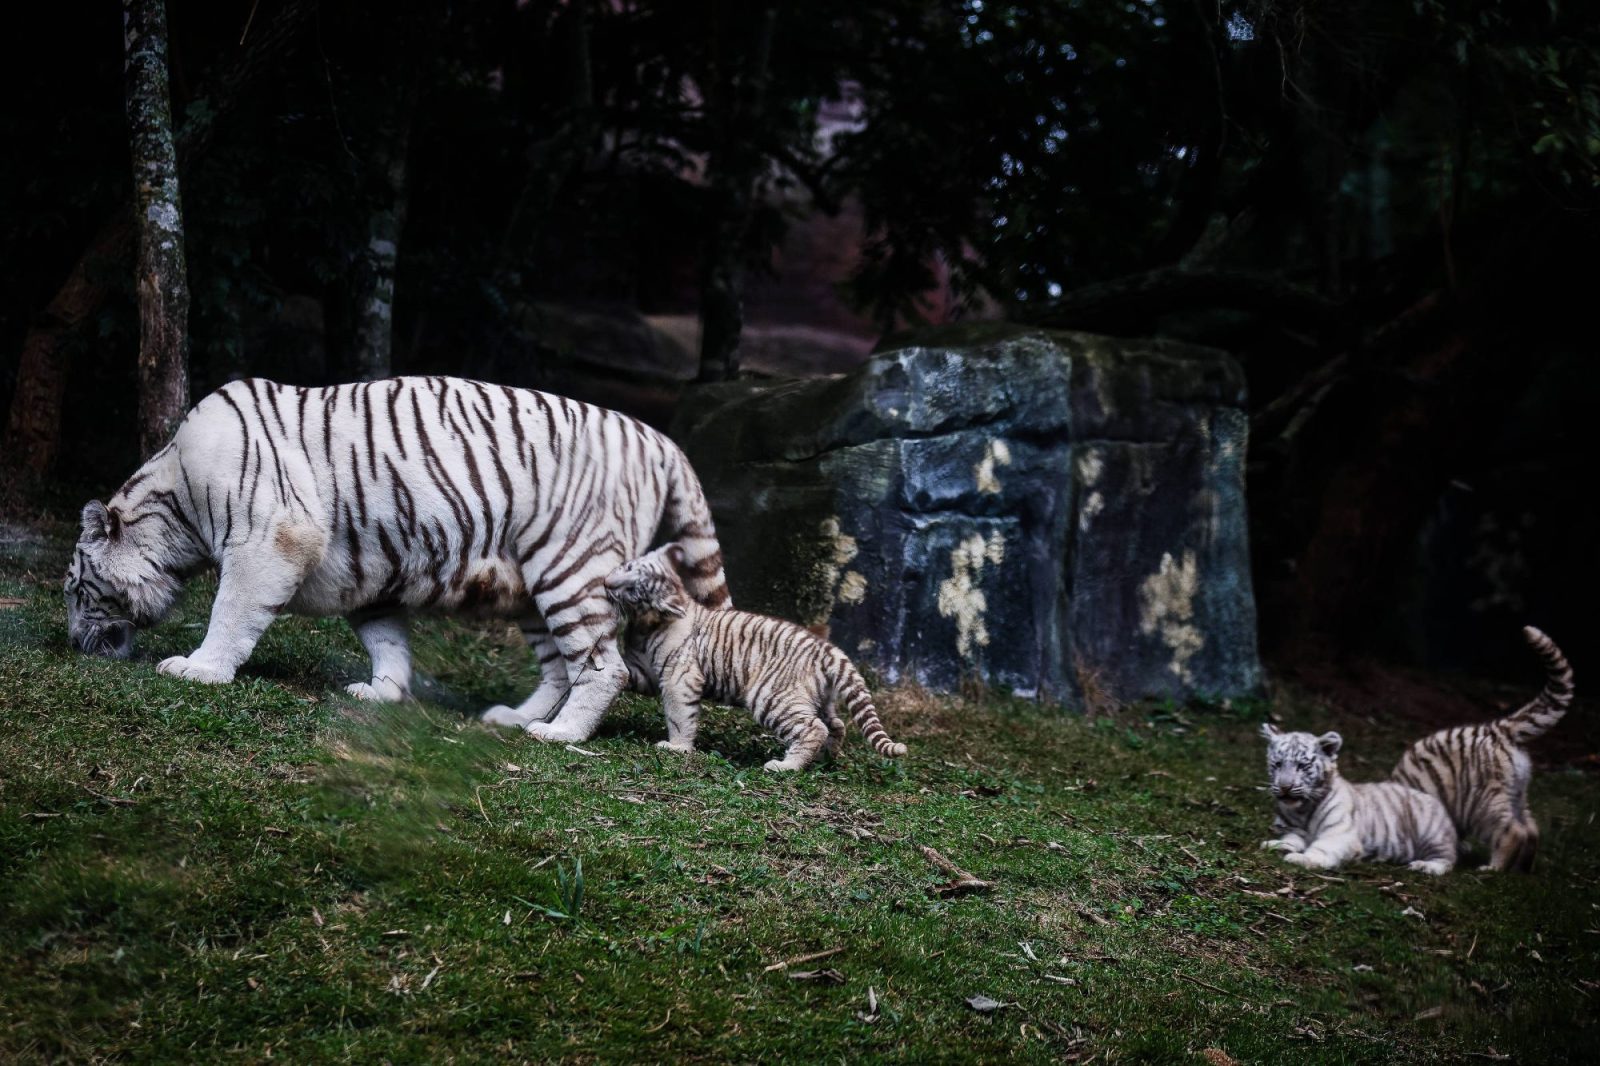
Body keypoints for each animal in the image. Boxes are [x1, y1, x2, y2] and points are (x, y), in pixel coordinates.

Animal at [64, 376, 730, 743]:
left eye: (76, 590)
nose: (71, 642)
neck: (174, 505)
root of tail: (662, 439)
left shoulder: (271, 537)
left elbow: (230, 611)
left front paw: (200, 669)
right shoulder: (365, 570)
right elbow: (386, 639)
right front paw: (383, 693)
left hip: (570, 566)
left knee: (601, 665)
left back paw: (560, 734)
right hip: (531, 585)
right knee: (559, 667)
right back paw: (512, 718)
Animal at [603, 543, 908, 771]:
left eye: (633, 590)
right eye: (627, 567)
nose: (606, 583)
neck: (644, 622)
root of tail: (828, 649)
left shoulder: (680, 678)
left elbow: (680, 716)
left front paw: (677, 748)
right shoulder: (646, 671)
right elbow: (626, 672)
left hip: (772, 696)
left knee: (813, 728)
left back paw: (786, 767)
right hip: (817, 697)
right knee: (836, 724)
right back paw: (825, 758)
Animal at [1259, 725, 1458, 875]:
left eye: (1302, 766)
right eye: (1277, 764)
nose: (1285, 787)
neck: (1302, 809)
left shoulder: (1340, 833)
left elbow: (1322, 848)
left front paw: (1301, 858)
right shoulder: (1296, 830)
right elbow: (1291, 839)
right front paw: (1276, 845)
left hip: (1433, 835)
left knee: (1448, 860)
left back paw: (1424, 866)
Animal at [1391, 625, 1574, 872]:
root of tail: (1498, 728)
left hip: (1480, 804)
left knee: (1512, 832)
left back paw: (1493, 868)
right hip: (1516, 794)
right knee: (1531, 829)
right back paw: (1522, 869)